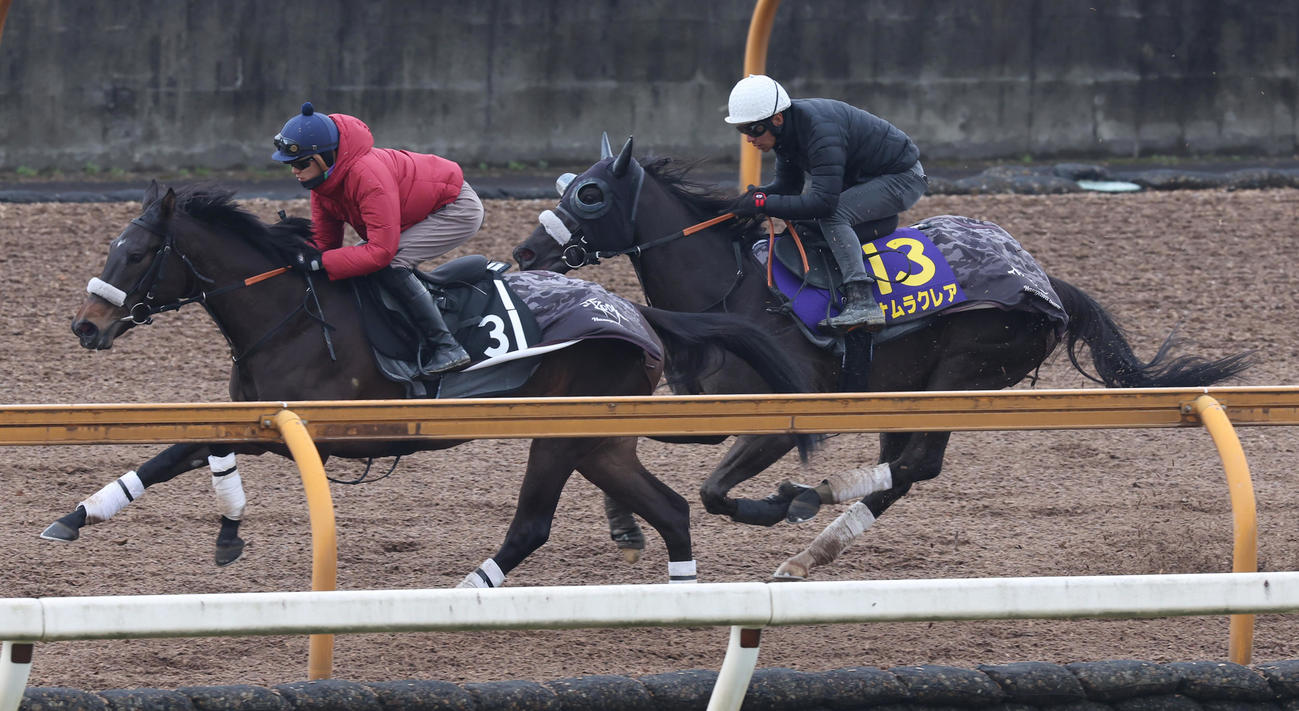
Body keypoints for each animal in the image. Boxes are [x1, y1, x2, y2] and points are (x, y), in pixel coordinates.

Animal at [48, 181, 815, 588]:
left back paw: (469, 588)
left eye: (138, 253)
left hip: (562, 432)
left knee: (534, 523)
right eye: (115, 246)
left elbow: (200, 448)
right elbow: (167, 454)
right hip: (600, 441)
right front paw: (77, 516)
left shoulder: (322, 430)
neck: (290, 315)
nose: (86, 325)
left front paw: (229, 529)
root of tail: (633, 309)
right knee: (673, 510)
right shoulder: (267, 417)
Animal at [512, 136, 1254, 580]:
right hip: (907, 388)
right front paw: (622, 521)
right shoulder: (697, 402)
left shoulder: (779, 416)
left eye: (590, 194)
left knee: (918, 464)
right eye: (569, 182)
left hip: (963, 373)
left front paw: (772, 504)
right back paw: (811, 550)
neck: (732, 288)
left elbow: (715, 491)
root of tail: (1043, 281)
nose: (525, 250)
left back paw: (811, 501)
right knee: (903, 472)